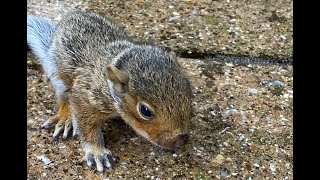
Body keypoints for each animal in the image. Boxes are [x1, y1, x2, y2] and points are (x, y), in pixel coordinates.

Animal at [26, 10, 192, 173]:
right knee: (63, 98)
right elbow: (87, 126)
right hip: (56, 73)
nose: (180, 141)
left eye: (189, 94)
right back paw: (65, 118)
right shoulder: (86, 96)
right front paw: (97, 152)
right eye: (145, 111)